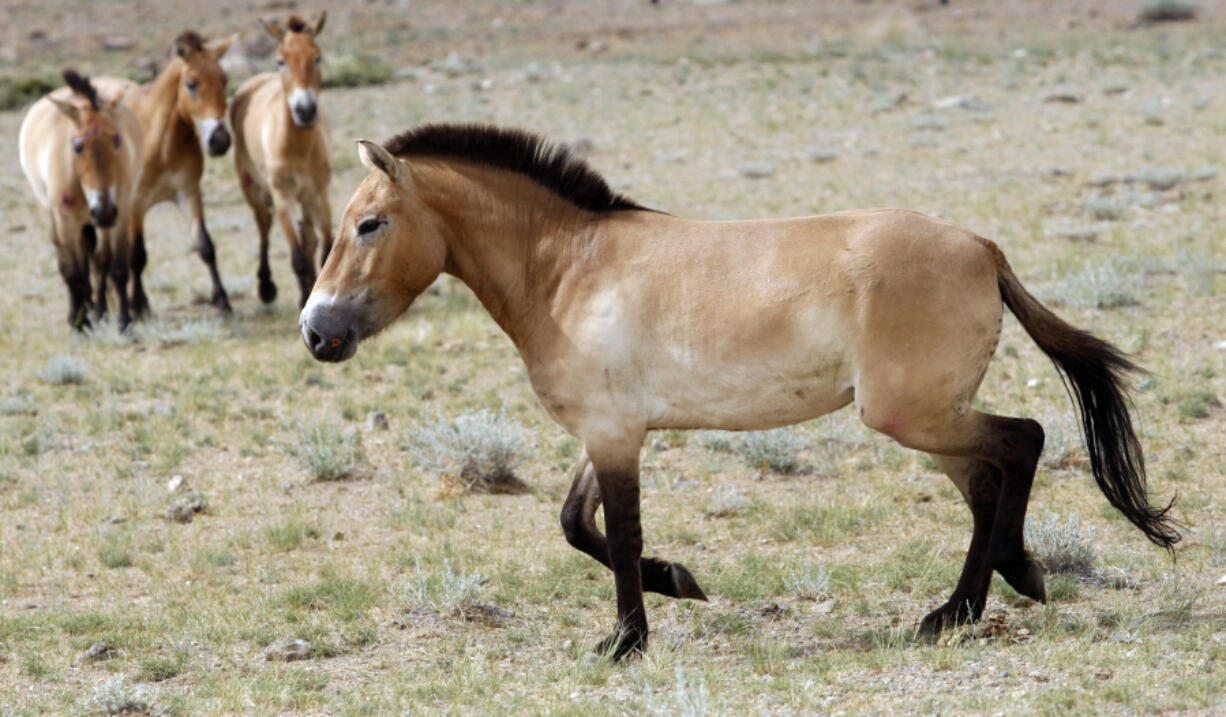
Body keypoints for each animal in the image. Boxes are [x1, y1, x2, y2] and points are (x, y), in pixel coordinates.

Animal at [19, 67, 143, 330]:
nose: (103, 210)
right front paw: (79, 325)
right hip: (52, 218)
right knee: (72, 265)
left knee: (98, 262)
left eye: (117, 140)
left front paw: (124, 323)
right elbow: (73, 273)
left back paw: (99, 311)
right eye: (77, 146)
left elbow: (117, 267)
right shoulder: (66, 220)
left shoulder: (120, 213)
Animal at [93, 30, 236, 316]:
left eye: (224, 80)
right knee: (103, 257)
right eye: (191, 84)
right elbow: (137, 256)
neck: (161, 143)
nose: (220, 140)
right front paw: (139, 306)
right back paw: (102, 306)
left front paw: (222, 300)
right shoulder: (136, 204)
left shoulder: (188, 194)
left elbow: (205, 246)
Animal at [230, 11, 333, 307]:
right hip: (253, 187)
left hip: (306, 199)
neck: (297, 148)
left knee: (308, 235)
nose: (305, 110)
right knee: (264, 225)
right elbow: (297, 257)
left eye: (317, 57)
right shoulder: (283, 197)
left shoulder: (319, 195)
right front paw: (303, 298)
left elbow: (325, 249)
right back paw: (266, 287)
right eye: (281, 60)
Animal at [294, 124, 1176, 661]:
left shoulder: (615, 434)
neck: (569, 270)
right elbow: (578, 525)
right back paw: (968, 603)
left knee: (1022, 440)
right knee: (989, 481)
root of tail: (981, 246)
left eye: (369, 223)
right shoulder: (612, 429)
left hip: (910, 414)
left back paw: (995, 588)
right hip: (929, 421)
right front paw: (681, 581)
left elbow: (615, 537)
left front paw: (626, 642)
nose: (315, 331)